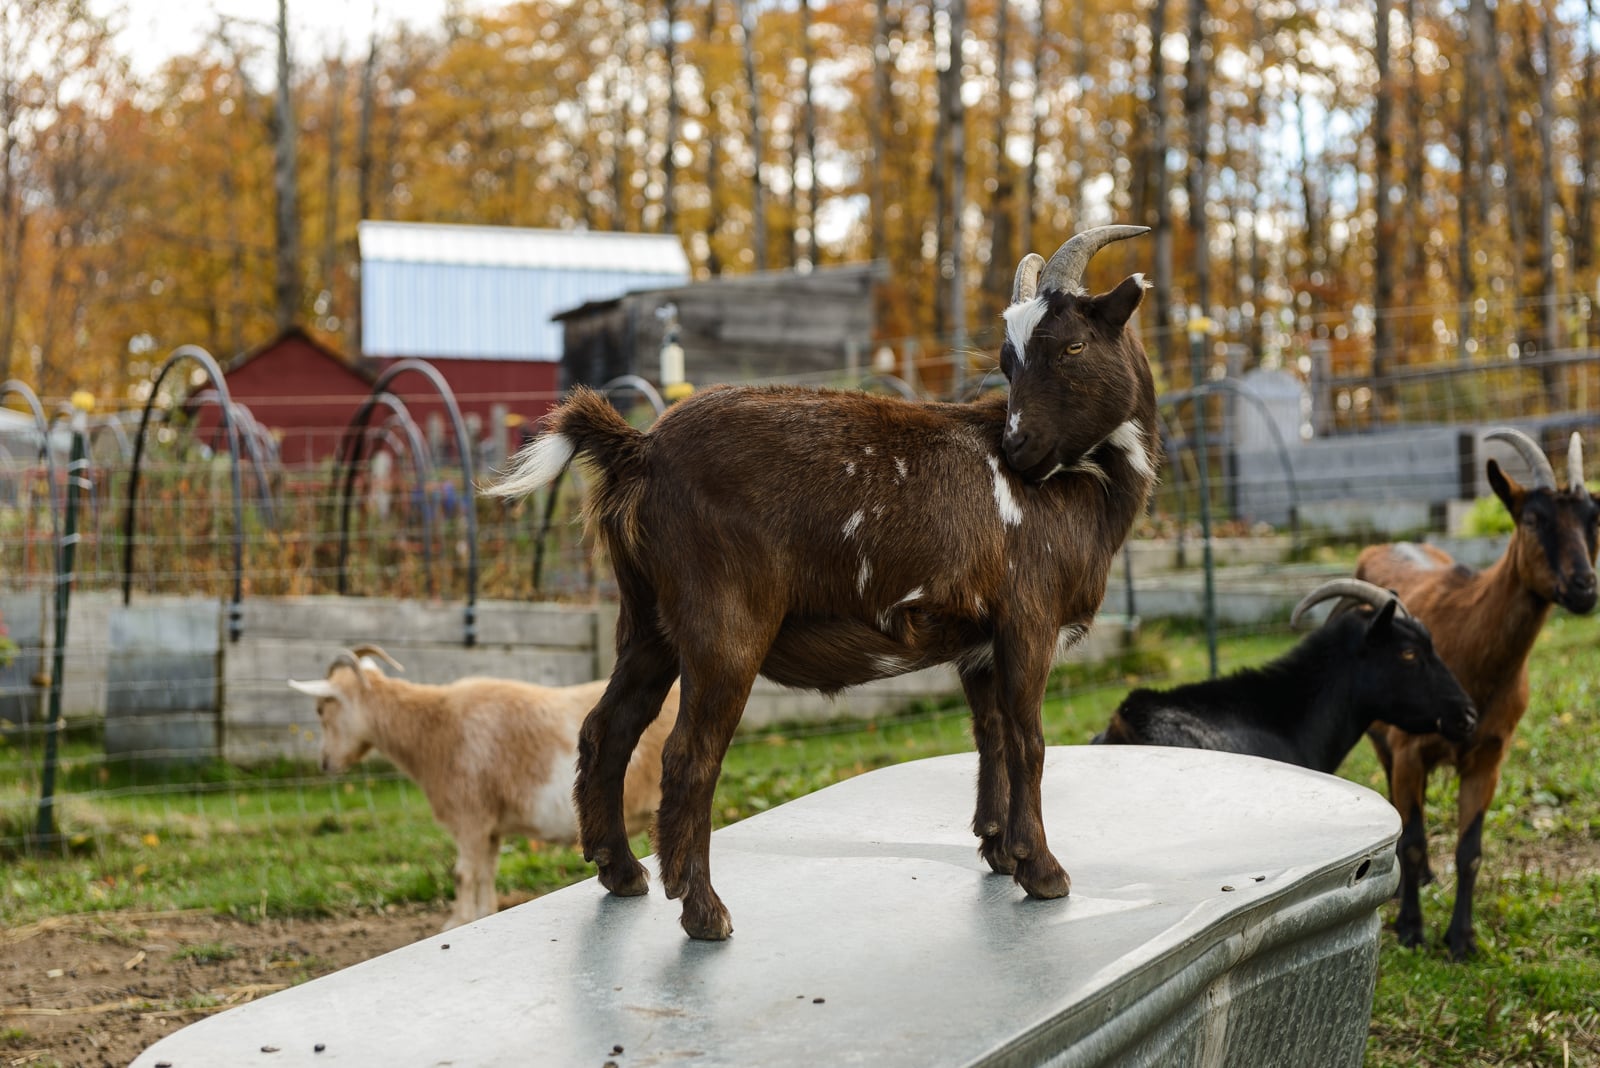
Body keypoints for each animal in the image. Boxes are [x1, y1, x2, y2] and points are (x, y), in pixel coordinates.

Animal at [291, 645, 678, 927]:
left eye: (322, 708)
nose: (325, 763)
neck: (434, 728)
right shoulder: (491, 828)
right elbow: (485, 877)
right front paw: (479, 916)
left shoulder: (470, 818)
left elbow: (463, 875)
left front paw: (456, 922)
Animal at [486, 223, 1164, 933]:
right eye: (1009, 360)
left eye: (1072, 344)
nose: (1018, 450)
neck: (1082, 489)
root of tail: (640, 450)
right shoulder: (1029, 620)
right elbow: (1030, 741)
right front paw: (1044, 872)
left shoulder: (980, 641)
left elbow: (994, 737)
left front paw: (1001, 851)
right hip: (723, 624)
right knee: (688, 756)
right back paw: (703, 911)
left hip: (647, 620)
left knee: (607, 729)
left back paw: (620, 872)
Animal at [1356, 428, 1593, 965]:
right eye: (1532, 518)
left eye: (1594, 519)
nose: (1585, 587)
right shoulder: (1409, 748)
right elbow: (1413, 838)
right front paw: (1411, 929)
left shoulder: (1490, 755)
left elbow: (1470, 851)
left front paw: (1461, 939)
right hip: (1383, 741)